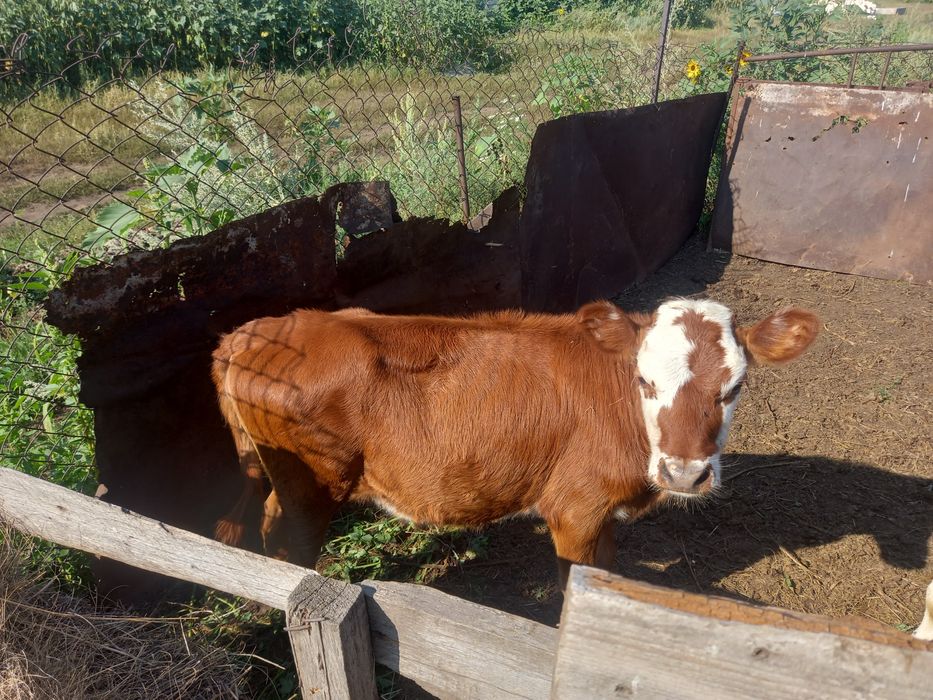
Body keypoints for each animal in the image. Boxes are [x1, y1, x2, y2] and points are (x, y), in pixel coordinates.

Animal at [212, 298, 819, 587]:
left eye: (733, 388)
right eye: (645, 381)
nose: (686, 474)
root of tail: (255, 329)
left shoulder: (603, 513)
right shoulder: (574, 508)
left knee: (268, 515)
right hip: (313, 482)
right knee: (290, 542)